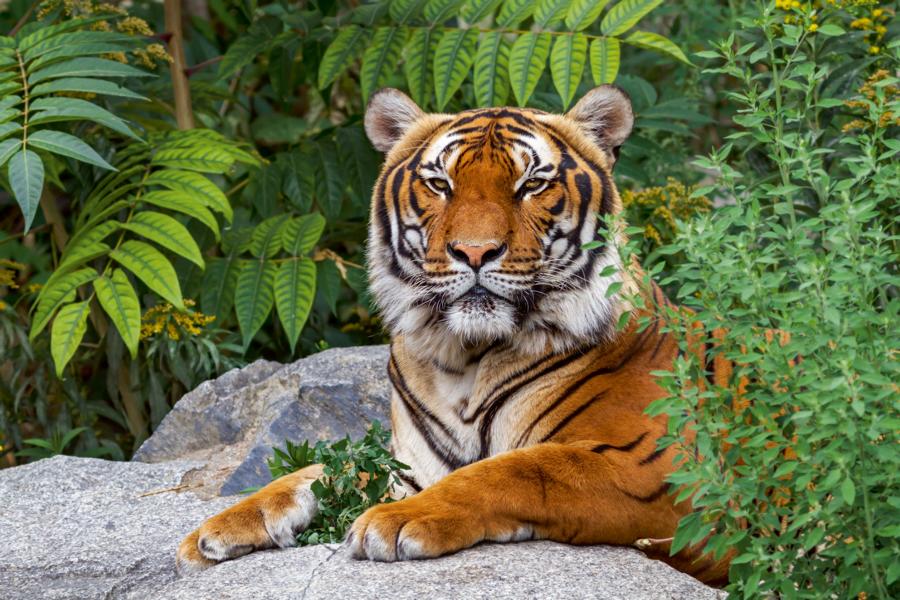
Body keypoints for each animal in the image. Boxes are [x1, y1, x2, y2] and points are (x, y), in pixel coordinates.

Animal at [176, 86, 732, 584]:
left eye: (532, 184)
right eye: (440, 183)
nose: (475, 251)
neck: (467, 357)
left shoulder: (659, 471)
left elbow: (517, 470)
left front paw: (397, 521)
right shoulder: (408, 464)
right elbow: (315, 472)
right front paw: (219, 528)